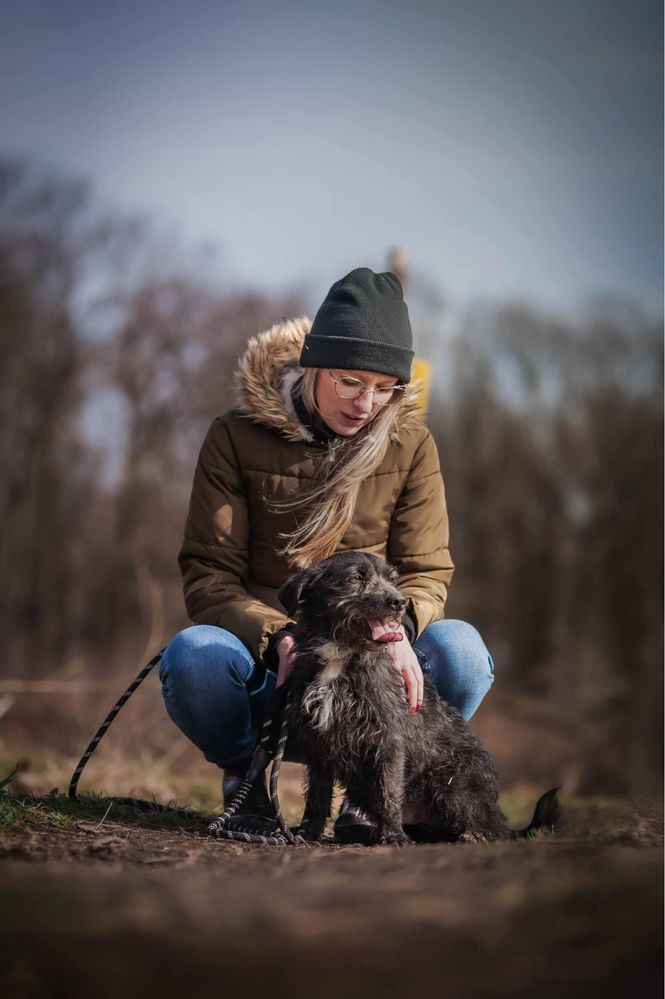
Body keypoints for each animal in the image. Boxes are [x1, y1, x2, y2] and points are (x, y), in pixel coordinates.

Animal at [278, 552, 560, 848]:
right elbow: (317, 796)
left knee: (495, 828)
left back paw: (476, 833)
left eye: (392, 579)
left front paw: (392, 836)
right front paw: (307, 833)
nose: (399, 602)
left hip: (452, 784)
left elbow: (389, 792)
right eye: (356, 578)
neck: (342, 655)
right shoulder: (318, 742)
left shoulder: (387, 740)